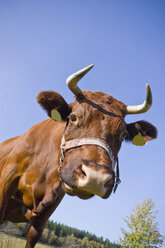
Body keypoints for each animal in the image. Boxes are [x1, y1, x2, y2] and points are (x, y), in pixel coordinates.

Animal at [0, 65, 157, 247]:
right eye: (73, 117)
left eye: (123, 135)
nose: (96, 177)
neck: (44, 169)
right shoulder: (7, 179)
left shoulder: (51, 205)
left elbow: (33, 235)